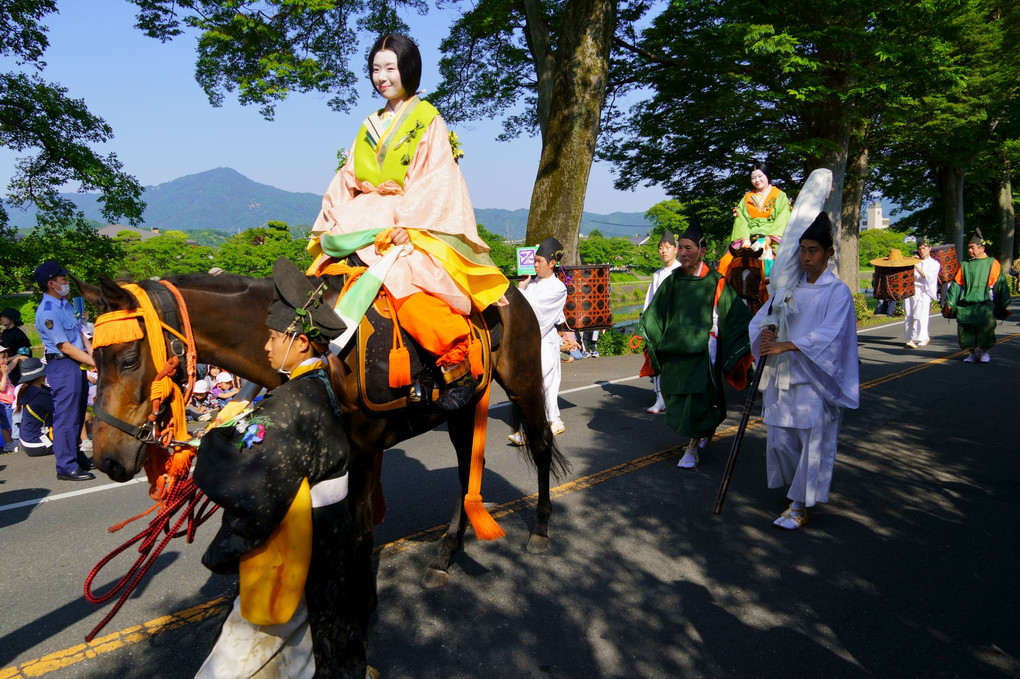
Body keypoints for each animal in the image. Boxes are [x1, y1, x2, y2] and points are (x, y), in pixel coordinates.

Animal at [77, 269, 575, 623]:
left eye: (128, 359)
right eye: (93, 358)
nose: (106, 457)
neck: (326, 349)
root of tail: (512, 294)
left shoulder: (366, 448)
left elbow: (360, 531)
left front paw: (361, 602)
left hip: (524, 381)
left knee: (540, 444)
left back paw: (540, 529)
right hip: (461, 409)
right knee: (466, 469)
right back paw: (446, 553)